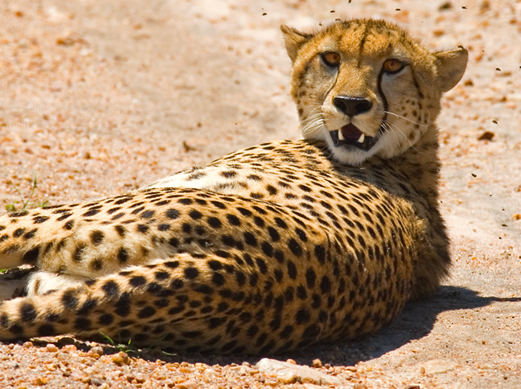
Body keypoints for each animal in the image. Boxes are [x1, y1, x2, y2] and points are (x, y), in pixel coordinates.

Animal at [0, 19, 466, 354]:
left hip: (79, 219)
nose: (351, 104)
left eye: (394, 66)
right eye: (330, 58)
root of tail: (242, 271)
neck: (405, 158)